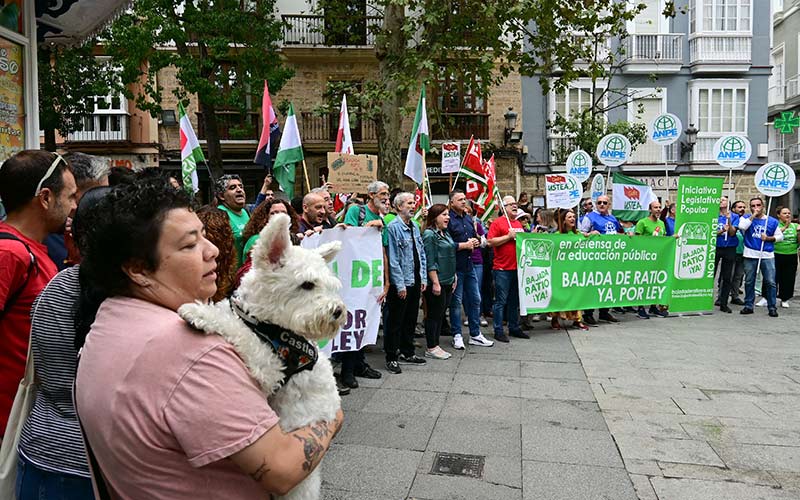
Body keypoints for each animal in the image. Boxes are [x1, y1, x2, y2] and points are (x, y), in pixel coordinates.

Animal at [180, 213, 346, 498]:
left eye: (329, 285)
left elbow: (241, 333)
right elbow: (232, 318)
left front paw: (199, 312)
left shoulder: (271, 367)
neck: (266, 323)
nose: (337, 311)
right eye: (307, 284)